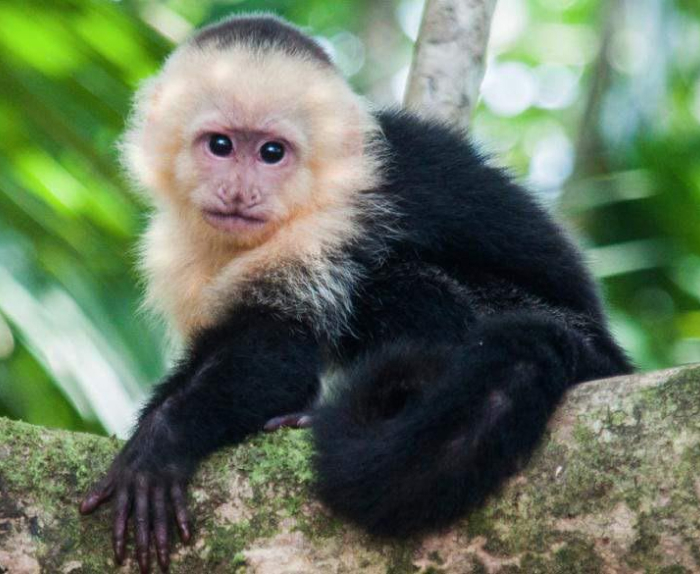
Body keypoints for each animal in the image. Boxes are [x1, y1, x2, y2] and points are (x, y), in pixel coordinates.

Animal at [79, 14, 632, 573]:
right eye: (220, 145)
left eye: (272, 152)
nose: (239, 193)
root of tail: (608, 358)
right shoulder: (172, 253)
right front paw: (148, 429)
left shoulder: (337, 219)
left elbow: (277, 352)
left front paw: (161, 445)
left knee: (397, 284)